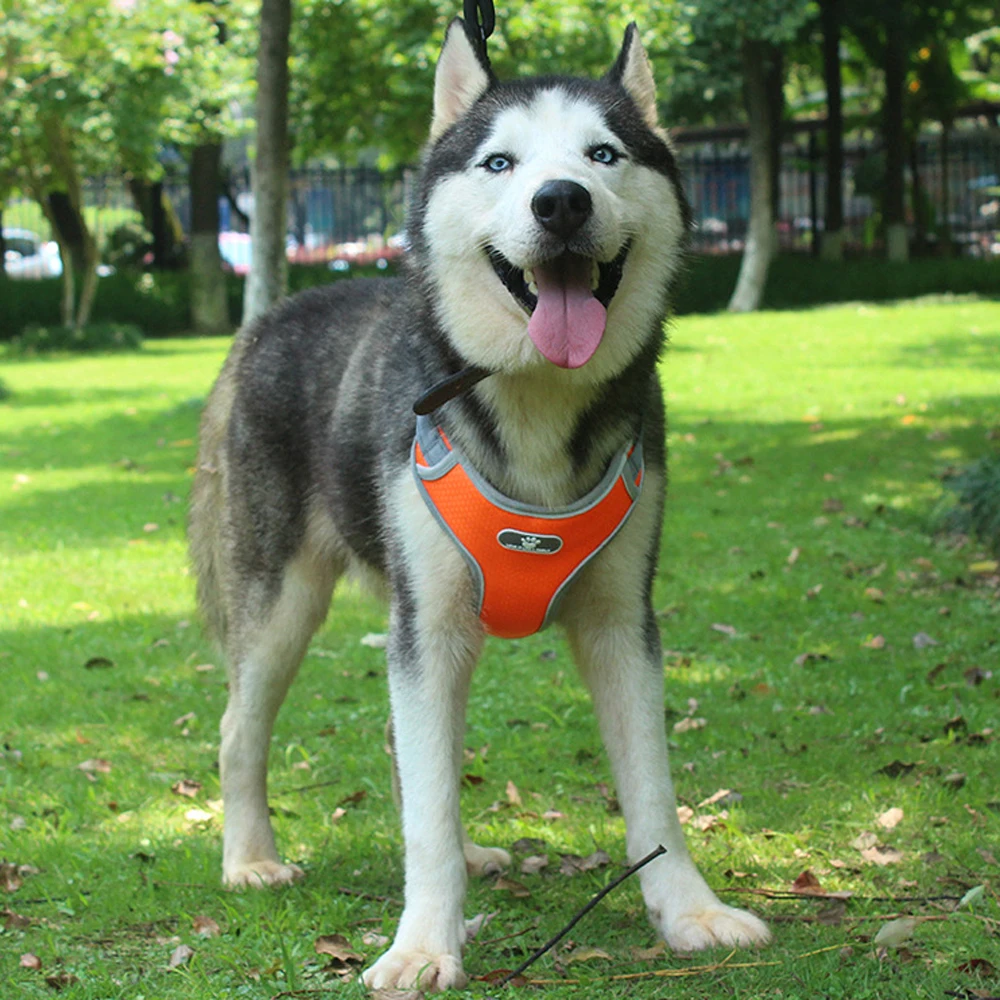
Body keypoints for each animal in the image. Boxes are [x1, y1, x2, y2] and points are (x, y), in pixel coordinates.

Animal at [188, 17, 768, 992]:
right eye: (500, 163)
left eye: (603, 154)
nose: (561, 202)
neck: (534, 395)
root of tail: (268, 319)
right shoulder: (431, 625)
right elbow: (427, 810)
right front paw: (425, 943)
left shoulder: (622, 620)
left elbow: (652, 790)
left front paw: (688, 911)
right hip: (282, 602)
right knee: (241, 729)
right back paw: (249, 859)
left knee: (406, 750)